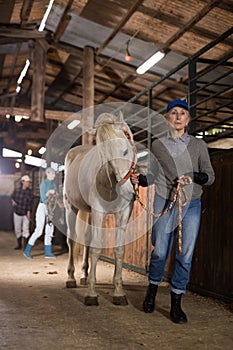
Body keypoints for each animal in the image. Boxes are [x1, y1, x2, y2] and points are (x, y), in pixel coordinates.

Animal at [63, 113, 137, 306]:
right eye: (105, 157)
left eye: (125, 151)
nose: (127, 191)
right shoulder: (98, 211)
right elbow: (96, 248)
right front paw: (91, 294)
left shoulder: (123, 213)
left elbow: (119, 250)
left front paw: (118, 292)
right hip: (71, 208)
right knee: (72, 240)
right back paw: (71, 278)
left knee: (86, 240)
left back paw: (84, 275)